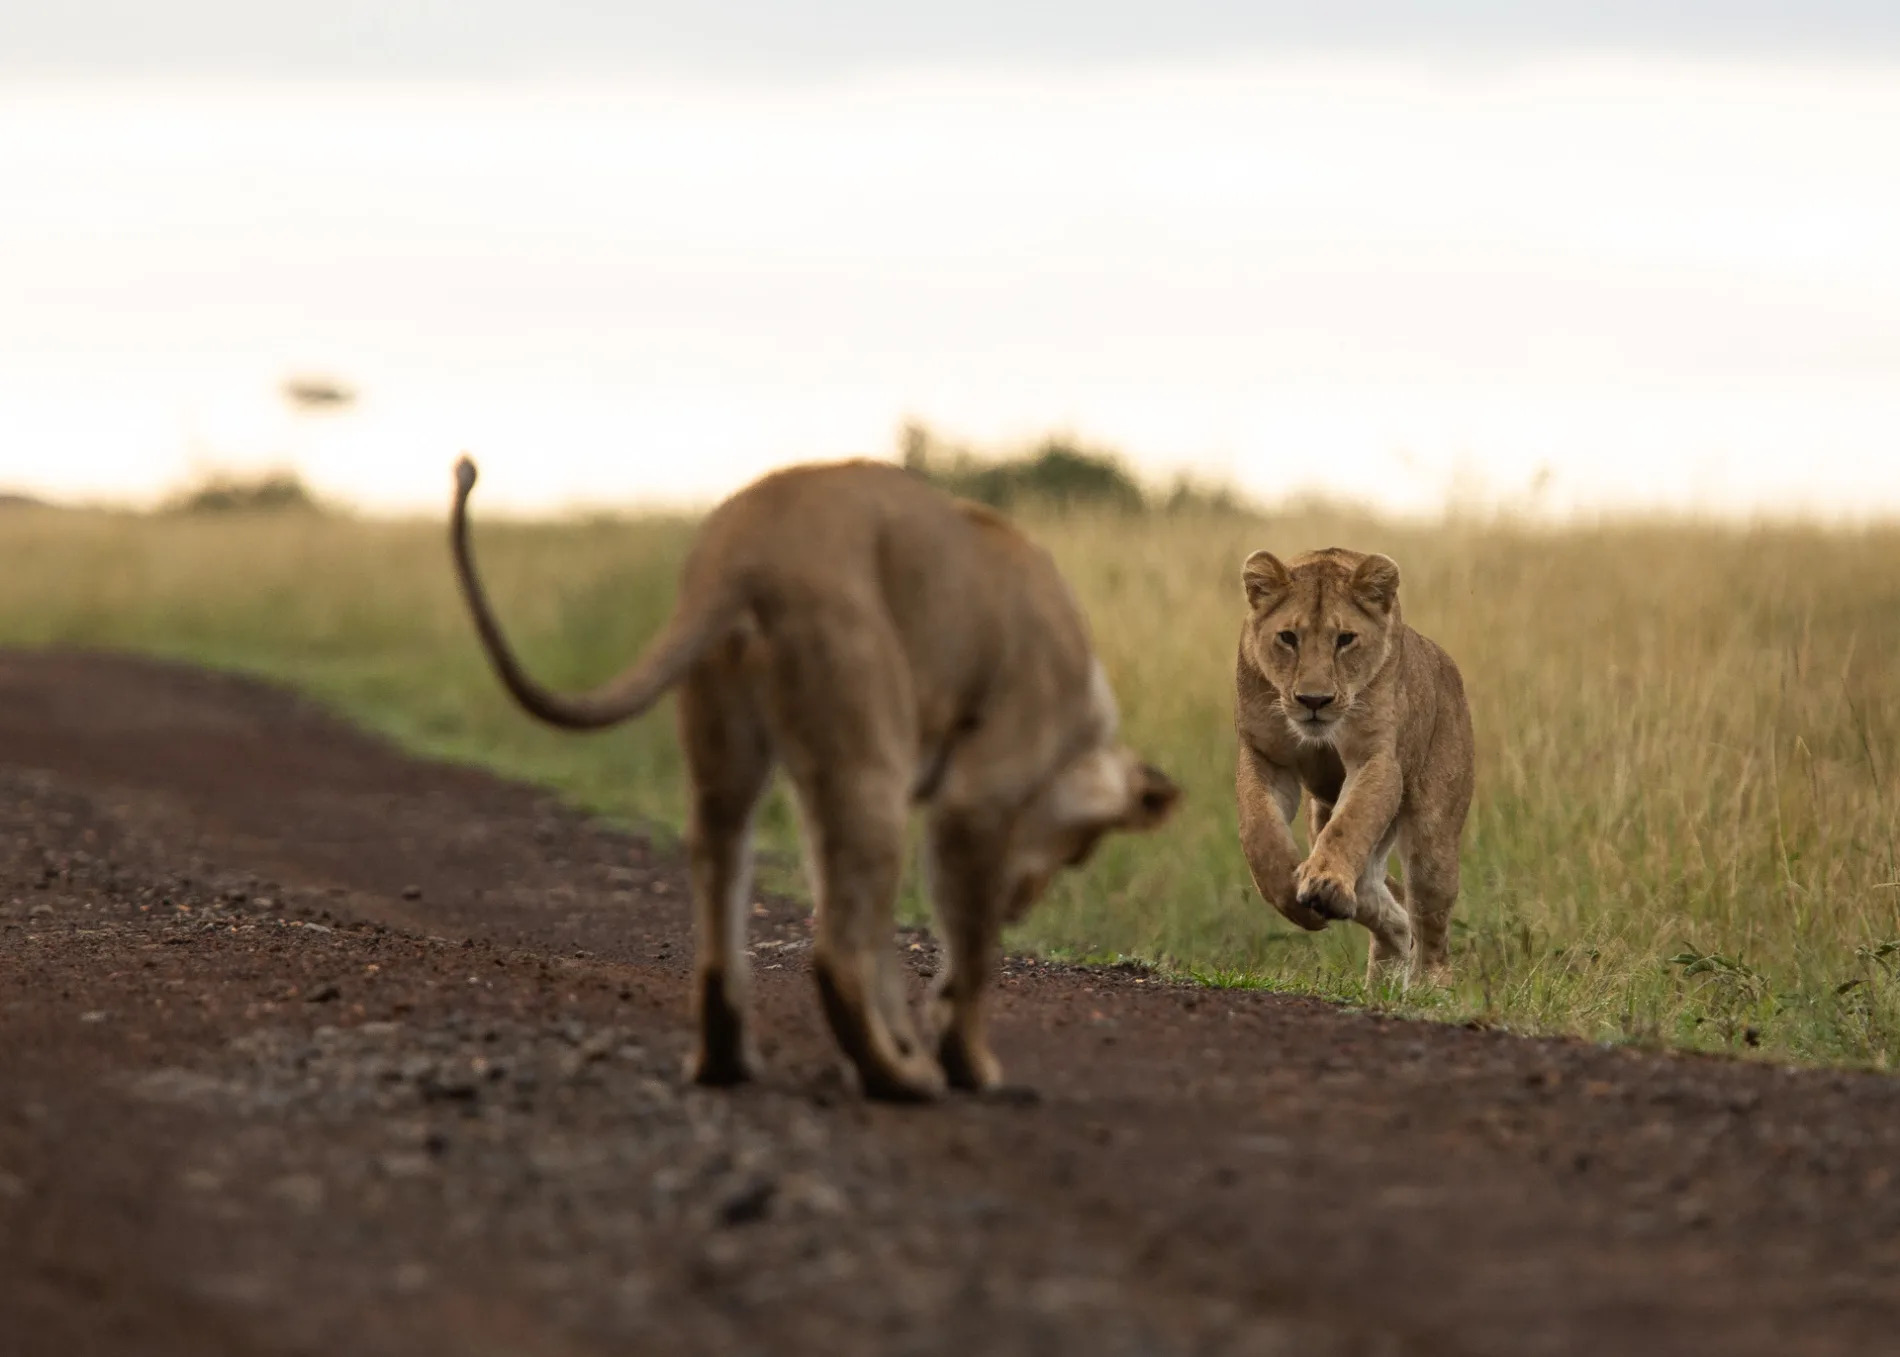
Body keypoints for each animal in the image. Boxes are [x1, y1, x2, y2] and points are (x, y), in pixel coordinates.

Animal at [452, 458, 1178, 1102]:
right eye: (1080, 853)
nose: (1025, 903)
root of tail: (744, 549)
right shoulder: (976, 799)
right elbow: (970, 953)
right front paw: (967, 1064)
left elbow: (884, 933)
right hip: (871, 757)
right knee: (835, 953)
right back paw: (900, 1082)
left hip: (737, 754)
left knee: (727, 883)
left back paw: (729, 1059)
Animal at [1238, 543, 1474, 980]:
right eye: (1288, 638)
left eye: (1345, 639)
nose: (1314, 701)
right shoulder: (1266, 756)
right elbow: (1260, 832)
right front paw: (1294, 894)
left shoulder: (1375, 758)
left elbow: (1350, 824)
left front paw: (1324, 883)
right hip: (1326, 819)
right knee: (1383, 901)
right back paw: (1381, 975)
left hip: (1433, 843)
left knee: (1430, 927)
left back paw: (1426, 984)